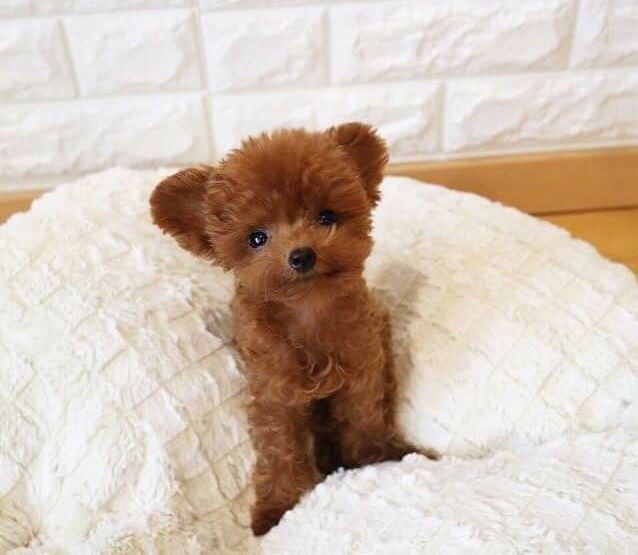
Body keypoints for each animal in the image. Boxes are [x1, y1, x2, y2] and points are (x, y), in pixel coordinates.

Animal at [151, 124, 430, 536]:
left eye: (326, 216)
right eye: (257, 238)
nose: (301, 255)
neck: (308, 309)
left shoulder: (362, 373)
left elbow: (363, 419)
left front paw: (375, 459)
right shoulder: (274, 395)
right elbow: (279, 451)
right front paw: (276, 508)